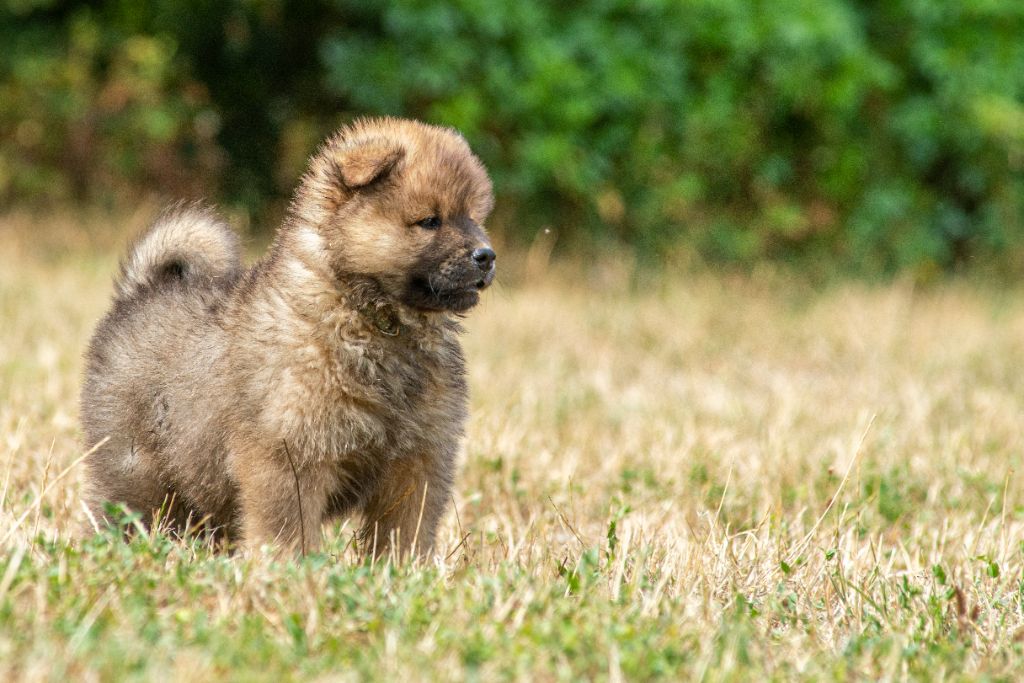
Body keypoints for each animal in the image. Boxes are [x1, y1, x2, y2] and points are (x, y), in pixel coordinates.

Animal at [79, 117, 495, 561]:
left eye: (474, 217)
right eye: (430, 221)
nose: (487, 255)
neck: (369, 316)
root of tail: (139, 293)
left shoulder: (419, 460)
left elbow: (405, 531)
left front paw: (404, 568)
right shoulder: (290, 455)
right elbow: (287, 528)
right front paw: (290, 567)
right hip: (134, 466)